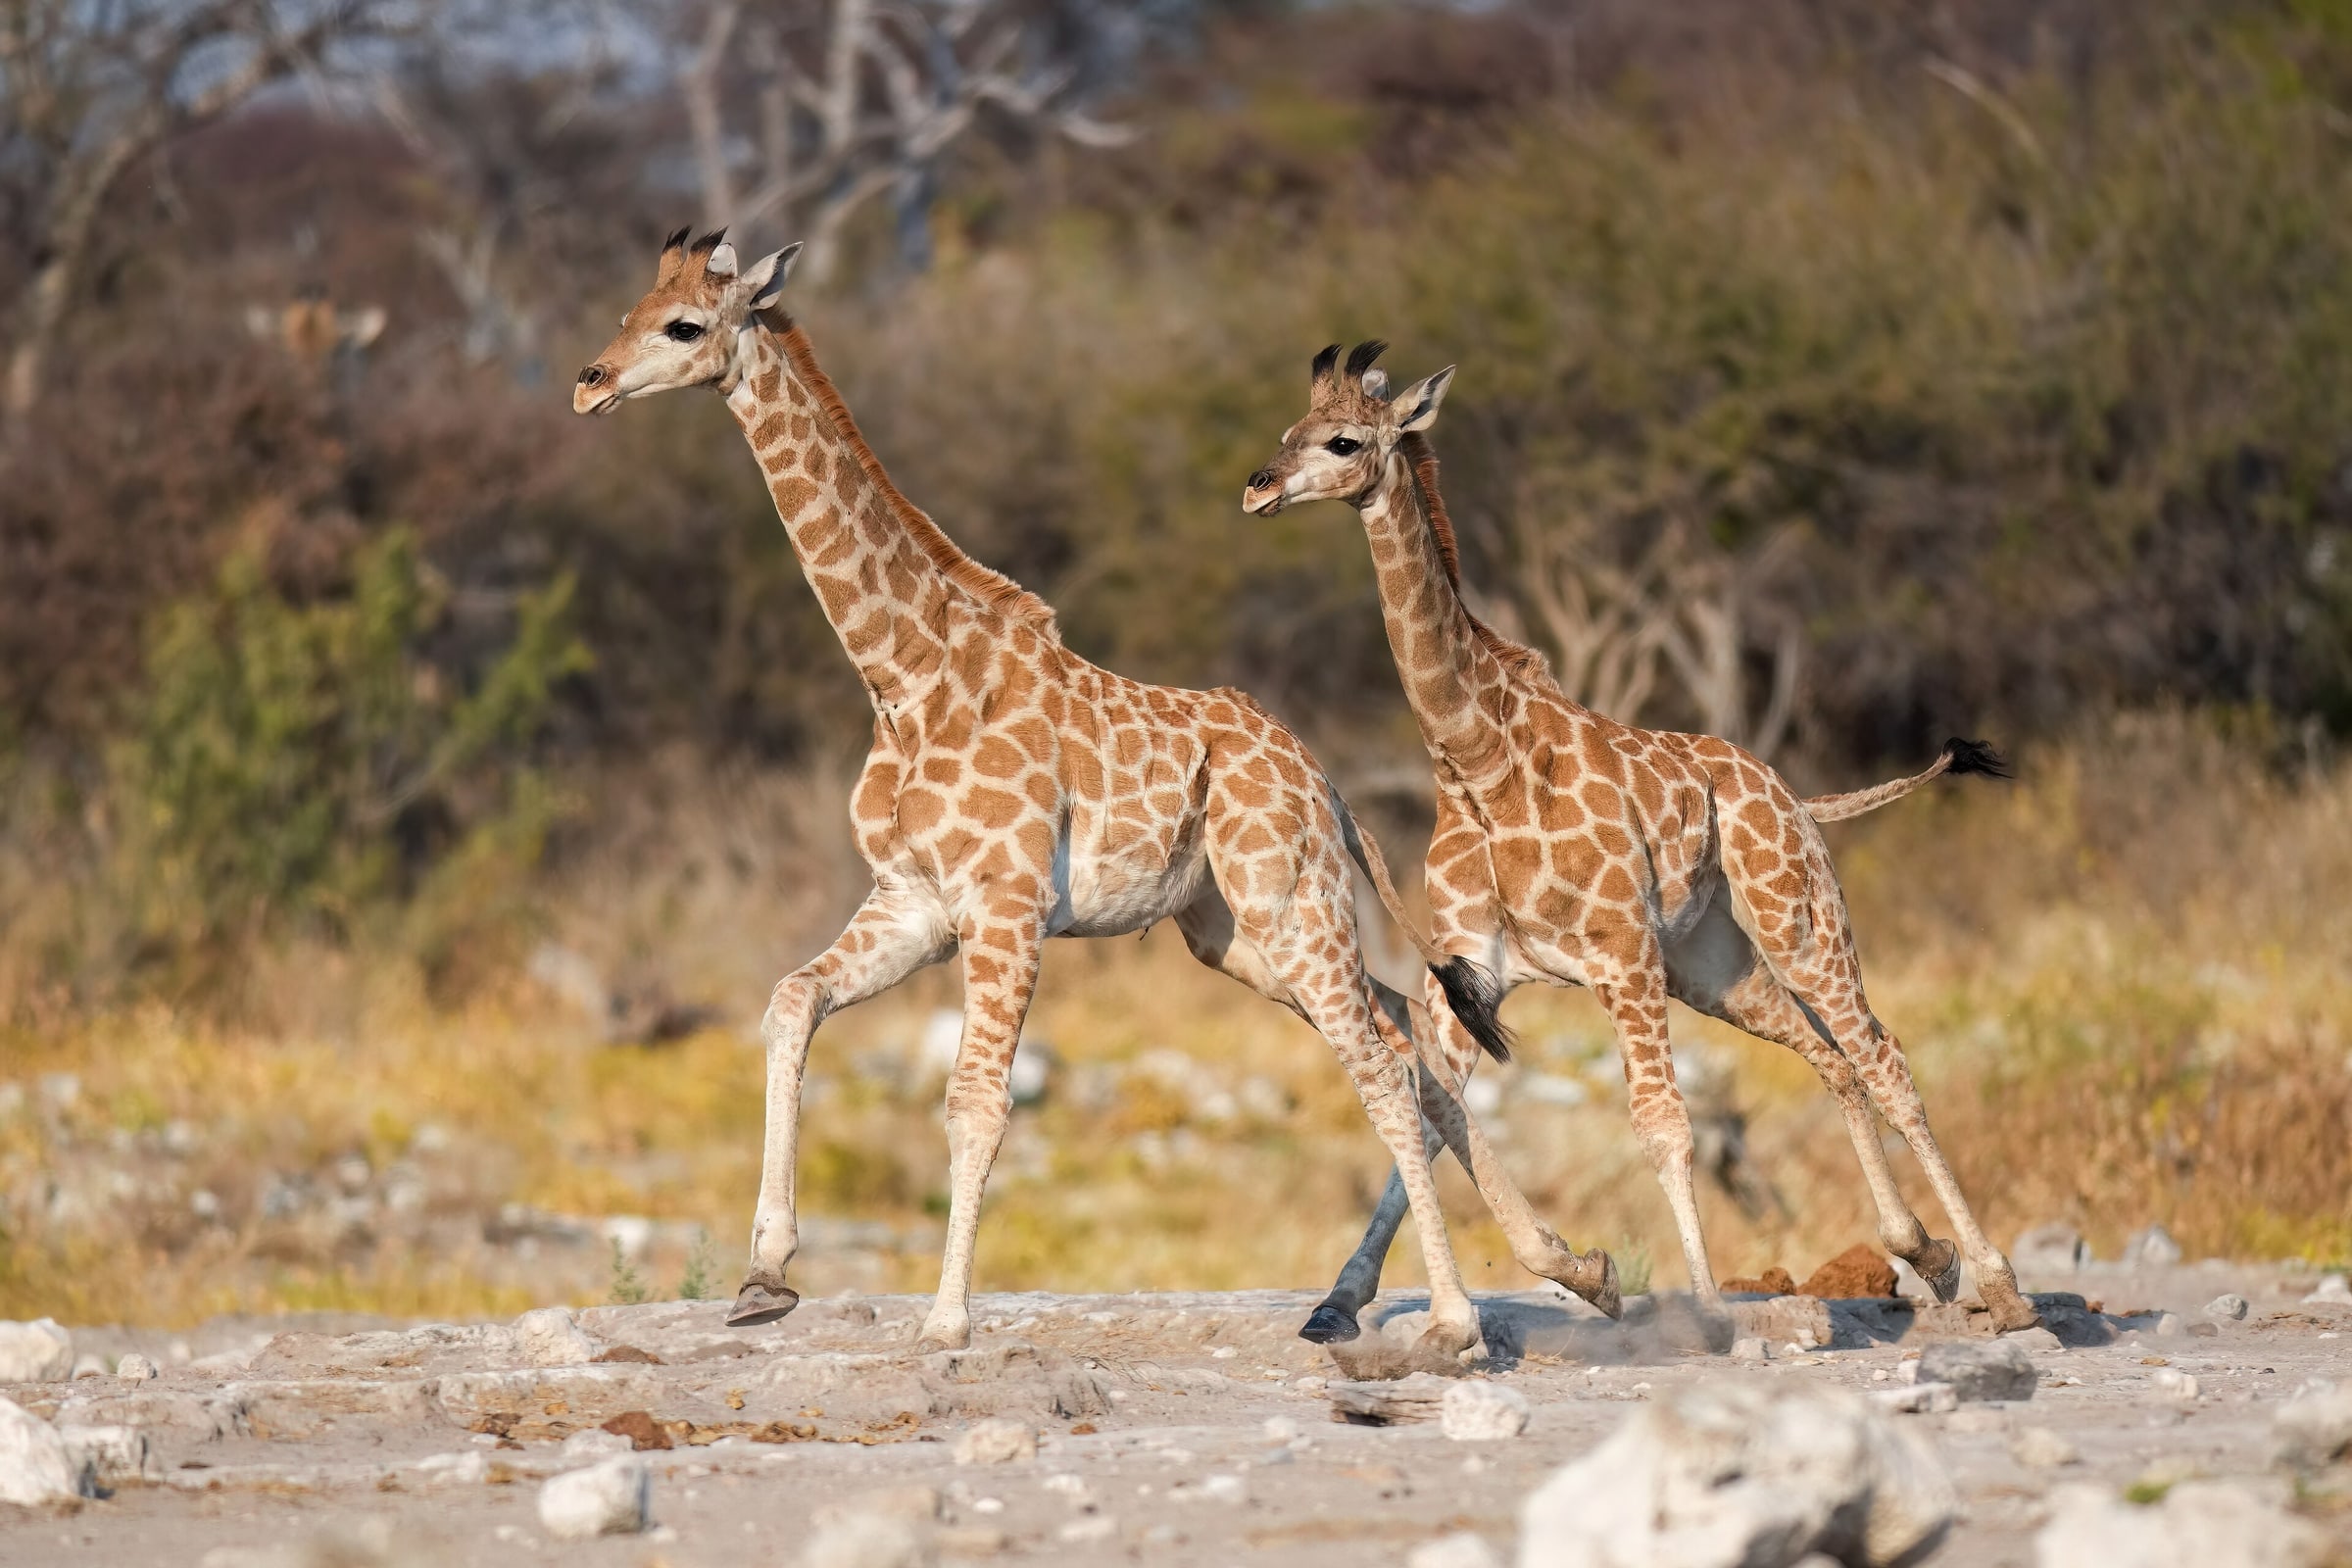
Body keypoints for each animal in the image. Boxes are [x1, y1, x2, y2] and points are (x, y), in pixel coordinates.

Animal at [572, 232, 1619, 1351]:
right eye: (632, 307)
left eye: (685, 325)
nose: (589, 383)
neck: (906, 673)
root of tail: (1322, 779)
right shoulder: (915, 903)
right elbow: (789, 1001)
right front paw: (765, 1275)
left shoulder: (1006, 906)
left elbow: (975, 1099)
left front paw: (946, 1320)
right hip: (1235, 934)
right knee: (1406, 1025)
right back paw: (1576, 1267)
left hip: (1286, 899)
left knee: (1378, 1057)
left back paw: (1459, 1318)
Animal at [1242, 341, 2041, 1337]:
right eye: (1287, 430)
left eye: (1342, 441)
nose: (1259, 487)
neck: (1477, 758)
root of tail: (1794, 793)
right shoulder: (1471, 975)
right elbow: (1430, 1112)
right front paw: (1349, 1302)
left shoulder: (1620, 954)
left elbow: (1662, 1124)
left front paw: (1700, 1308)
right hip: (1716, 966)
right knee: (1833, 1058)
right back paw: (1921, 1252)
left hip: (1795, 919)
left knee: (1881, 1054)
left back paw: (2000, 1284)